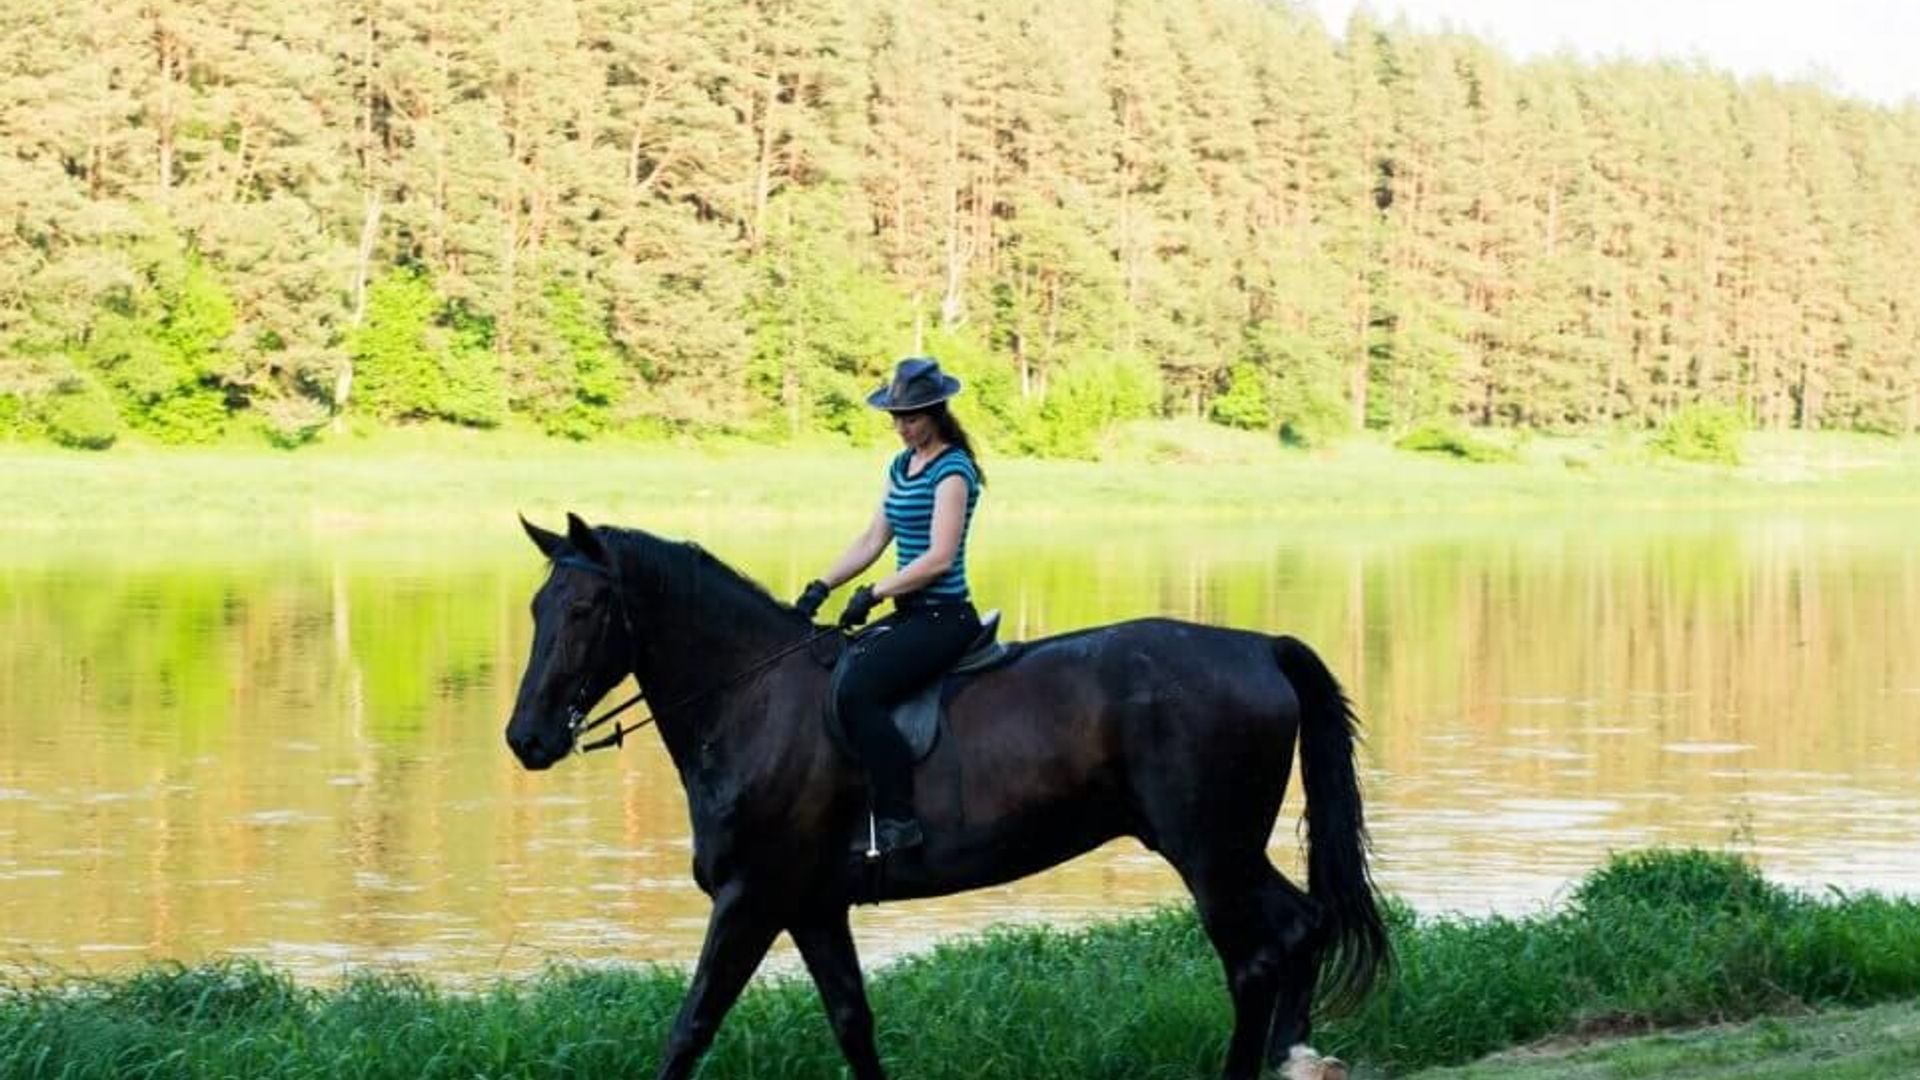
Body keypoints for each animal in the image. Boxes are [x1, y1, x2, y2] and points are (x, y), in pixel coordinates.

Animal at [506, 511, 1382, 1076]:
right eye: (538, 607)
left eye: (585, 609)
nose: (527, 739)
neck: (753, 700)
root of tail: (1260, 647)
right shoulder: (811, 906)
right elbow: (853, 1024)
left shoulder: (752, 897)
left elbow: (690, 1028)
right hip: (1227, 851)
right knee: (1304, 925)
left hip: (1209, 853)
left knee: (1258, 958)